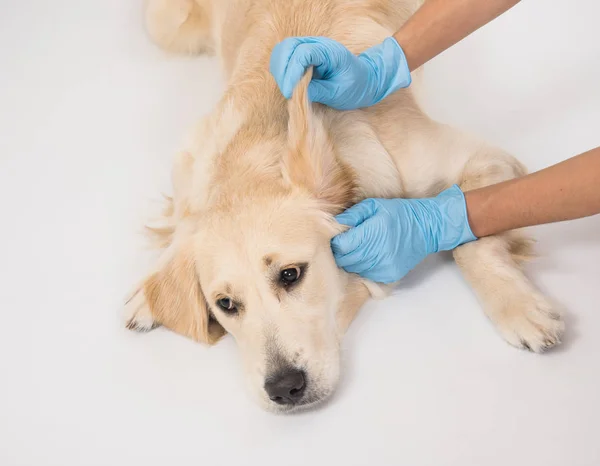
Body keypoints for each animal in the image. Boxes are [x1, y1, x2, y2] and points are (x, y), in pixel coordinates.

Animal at [124, 0, 564, 414]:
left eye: (290, 274)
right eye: (225, 304)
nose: (284, 388)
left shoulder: (483, 158)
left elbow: (469, 240)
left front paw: (518, 308)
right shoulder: (191, 159)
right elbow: (181, 223)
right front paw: (152, 294)